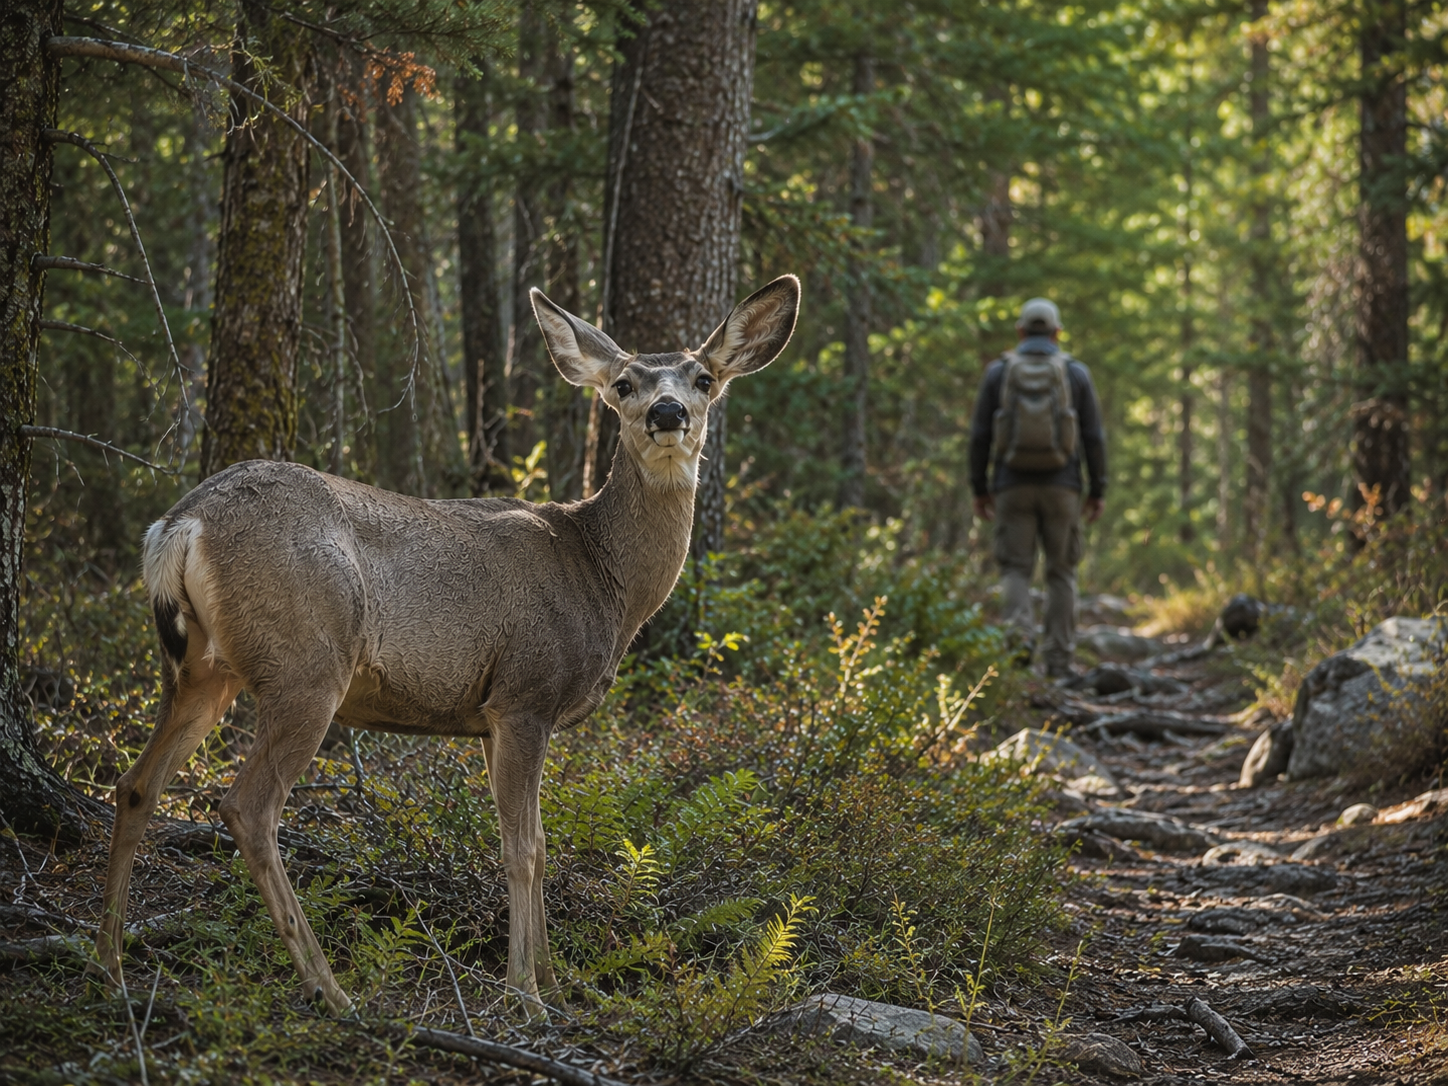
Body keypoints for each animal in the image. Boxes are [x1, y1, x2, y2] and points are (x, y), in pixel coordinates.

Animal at [91, 275, 800, 1019]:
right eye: (625, 383)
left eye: (703, 377)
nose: (667, 411)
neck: (601, 577)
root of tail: (180, 525)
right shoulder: (525, 693)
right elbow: (521, 848)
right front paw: (527, 996)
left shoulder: (492, 718)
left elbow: (539, 840)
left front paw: (555, 982)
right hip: (305, 665)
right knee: (247, 808)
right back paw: (330, 989)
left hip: (200, 670)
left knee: (135, 786)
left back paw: (110, 968)